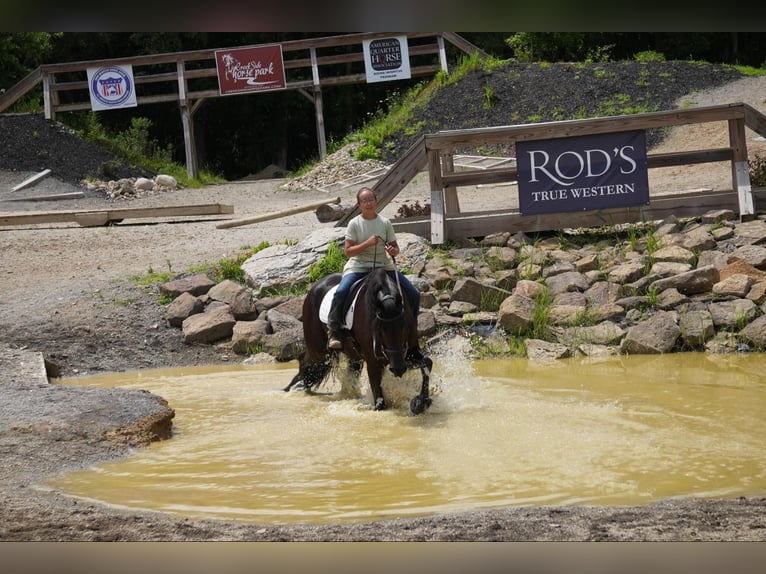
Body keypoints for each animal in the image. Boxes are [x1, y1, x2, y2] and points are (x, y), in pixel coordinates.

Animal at [284, 267, 433, 414]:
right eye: (380, 329)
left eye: (405, 325)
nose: (398, 369)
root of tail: (313, 289)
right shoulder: (373, 361)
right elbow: (379, 400)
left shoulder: (408, 352)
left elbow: (427, 363)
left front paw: (420, 403)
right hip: (318, 350)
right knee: (304, 361)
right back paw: (293, 389)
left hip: (352, 354)